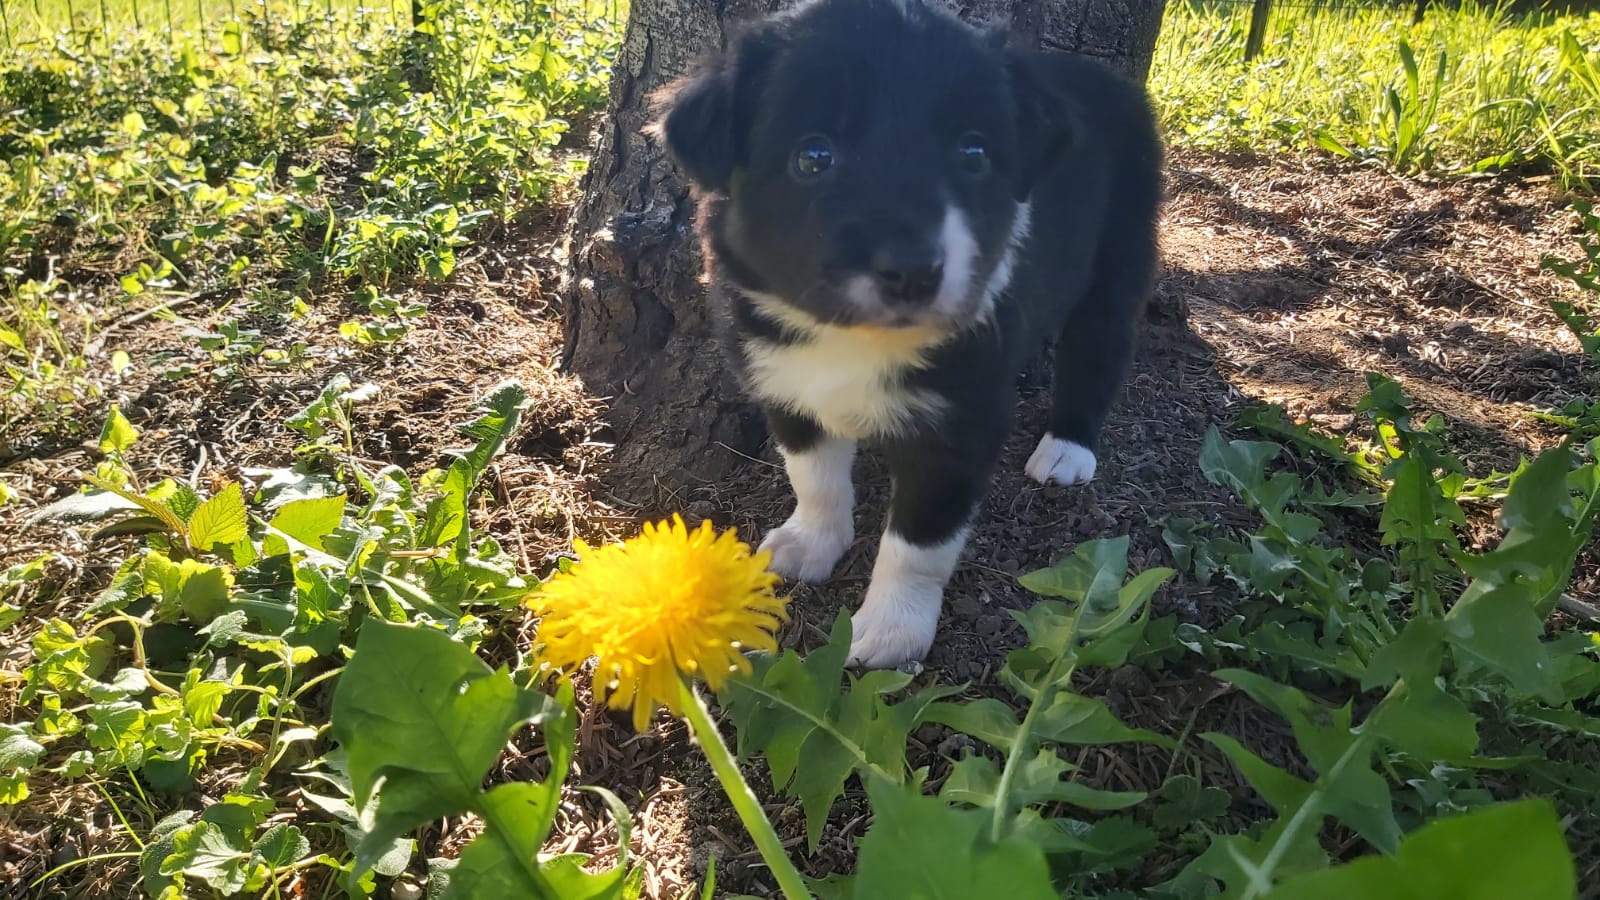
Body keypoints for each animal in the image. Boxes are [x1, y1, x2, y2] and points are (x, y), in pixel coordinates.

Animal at [654, 0, 1163, 668]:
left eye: (973, 155)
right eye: (812, 157)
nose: (913, 270)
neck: (854, 338)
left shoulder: (956, 426)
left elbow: (918, 543)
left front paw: (891, 630)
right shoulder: (783, 380)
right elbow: (812, 475)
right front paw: (810, 542)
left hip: (1121, 248)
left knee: (1099, 349)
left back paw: (1067, 447)